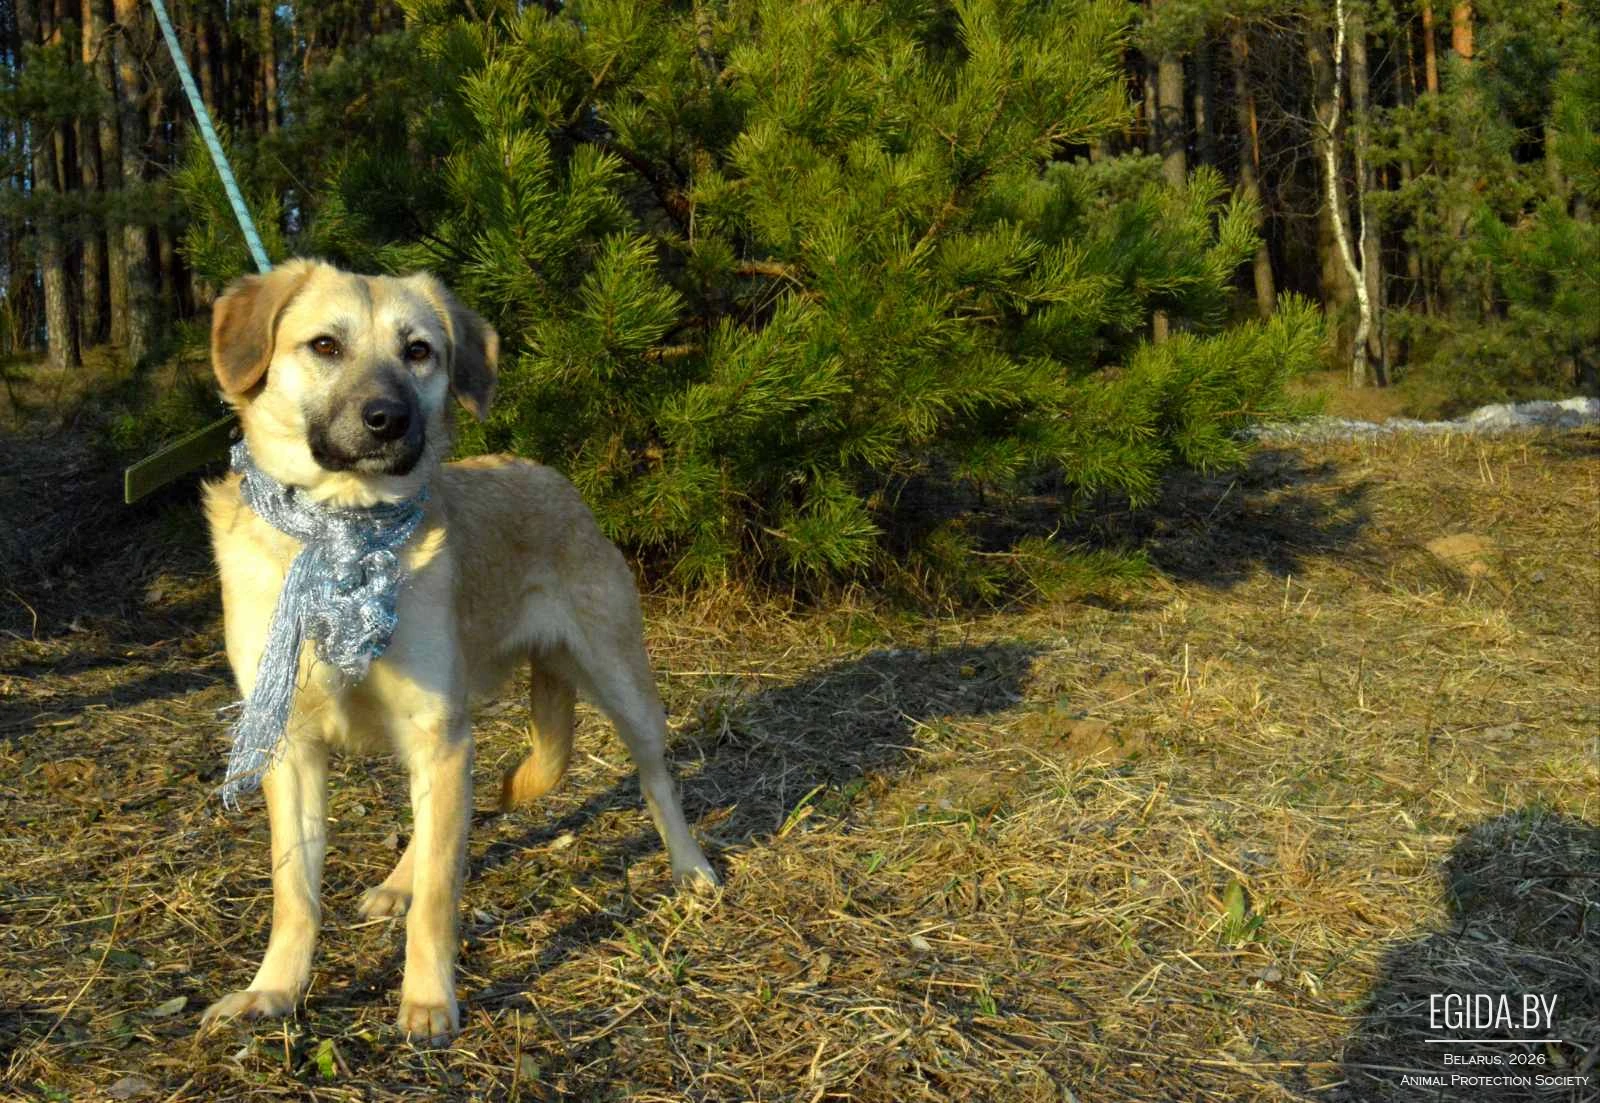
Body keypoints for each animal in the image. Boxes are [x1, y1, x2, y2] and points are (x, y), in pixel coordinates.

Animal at [198, 258, 717, 1045]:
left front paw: (426, 999)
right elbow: (296, 893)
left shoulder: (436, 731)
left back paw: (688, 867)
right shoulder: (291, 745)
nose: (389, 419)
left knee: (658, 778)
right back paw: (395, 884)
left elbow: (442, 894)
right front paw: (274, 990)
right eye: (324, 345)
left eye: (419, 351)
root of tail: (550, 473)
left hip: (620, 683)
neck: (344, 531)